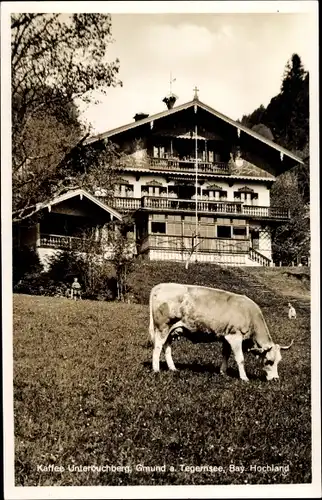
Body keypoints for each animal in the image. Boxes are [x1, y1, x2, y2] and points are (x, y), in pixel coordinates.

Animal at [150, 284, 294, 380]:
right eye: (269, 361)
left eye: (279, 361)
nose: (276, 379)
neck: (249, 314)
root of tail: (160, 286)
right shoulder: (235, 336)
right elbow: (240, 359)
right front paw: (244, 378)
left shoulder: (226, 337)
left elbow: (225, 354)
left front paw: (223, 372)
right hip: (162, 328)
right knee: (157, 348)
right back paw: (156, 369)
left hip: (172, 331)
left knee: (167, 348)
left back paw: (172, 368)